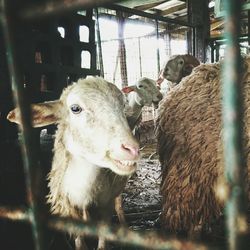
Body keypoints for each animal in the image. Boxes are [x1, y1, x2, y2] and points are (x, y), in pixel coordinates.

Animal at [7, 76, 141, 250]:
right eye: (75, 108)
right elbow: (79, 240)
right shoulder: (68, 204)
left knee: (118, 202)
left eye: (123, 106)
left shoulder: (106, 204)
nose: (132, 149)